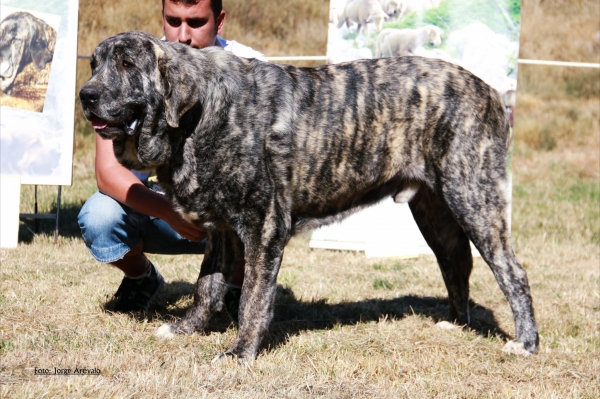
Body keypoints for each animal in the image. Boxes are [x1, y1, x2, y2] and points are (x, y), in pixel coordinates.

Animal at [79, 30, 540, 362]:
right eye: (94, 64)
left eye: (127, 64)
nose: (86, 95)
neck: (202, 114)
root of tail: (490, 91)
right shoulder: (223, 230)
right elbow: (206, 286)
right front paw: (184, 329)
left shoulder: (264, 227)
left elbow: (253, 298)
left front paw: (241, 352)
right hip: (434, 212)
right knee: (455, 262)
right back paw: (456, 324)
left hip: (472, 198)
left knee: (512, 271)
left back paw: (526, 342)